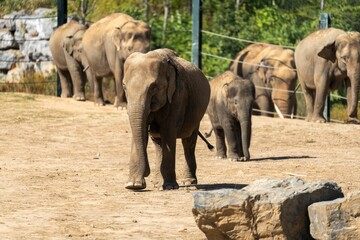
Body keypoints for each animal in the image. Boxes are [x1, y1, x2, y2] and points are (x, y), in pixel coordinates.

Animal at [122, 48, 210, 190]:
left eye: (154, 87)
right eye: (124, 87)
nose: (146, 172)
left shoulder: (178, 96)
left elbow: (168, 133)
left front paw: (170, 186)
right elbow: (141, 132)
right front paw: (133, 185)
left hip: (197, 114)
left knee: (188, 142)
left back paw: (188, 182)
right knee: (158, 143)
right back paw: (158, 183)